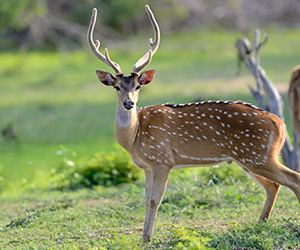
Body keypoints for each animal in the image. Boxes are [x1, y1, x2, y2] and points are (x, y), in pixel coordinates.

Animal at [86, 4, 300, 242]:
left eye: (137, 86)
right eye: (116, 87)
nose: (129, 103)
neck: (135, 138)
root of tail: (280, 124)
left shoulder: (162, 159)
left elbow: (155, 200)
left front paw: (148, 238)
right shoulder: (147, 166)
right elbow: (146, 199)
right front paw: (144, 238)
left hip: (258, 155)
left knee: (293, 178)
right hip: (249, 158)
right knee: (273, 186)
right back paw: (259, 224)